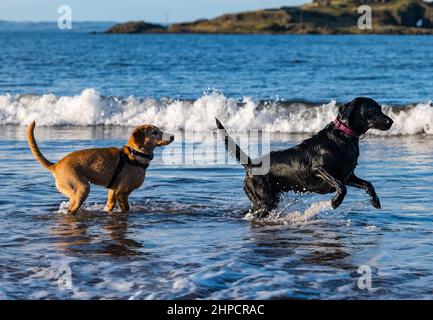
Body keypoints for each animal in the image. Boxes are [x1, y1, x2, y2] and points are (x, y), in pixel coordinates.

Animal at [27, 121, 174, 216]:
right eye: (155, 132)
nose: (172, 136)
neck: (135, 154)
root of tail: (56, 165)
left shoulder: (114, 192)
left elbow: (112, 206)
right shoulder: (121, 193)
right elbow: (122, 208)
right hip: (82, 188)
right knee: (71, 209)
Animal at [215, 97, 392, 218]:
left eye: (380, 108)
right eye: (372, 110)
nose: (391, 121)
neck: (343, 137)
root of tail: (251, 164)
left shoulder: (348, 176)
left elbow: (368, 184)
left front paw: (375, 201)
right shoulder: (319, 168)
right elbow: (342, 187)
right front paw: (335, 202)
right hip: (264, 200)